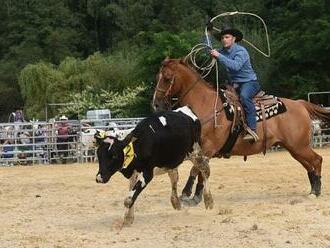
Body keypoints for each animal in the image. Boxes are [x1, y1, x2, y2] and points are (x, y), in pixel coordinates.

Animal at [152, 58, 330, 205]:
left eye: (167, 77)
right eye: (157, 77)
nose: (156, 104)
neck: (206, 104)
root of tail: (300, 103)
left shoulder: (209, 148)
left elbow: (196, 169)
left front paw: (186, 193)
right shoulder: (201, 149)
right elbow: (202, 171)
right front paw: (196, 197)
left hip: (300, 146)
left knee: (317, 160)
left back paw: (316, 191)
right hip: (294, 148)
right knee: (309, 166)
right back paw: (313, 189)